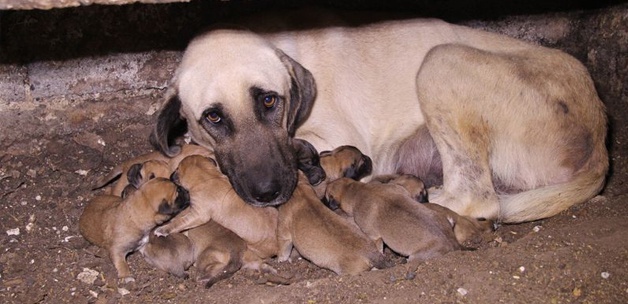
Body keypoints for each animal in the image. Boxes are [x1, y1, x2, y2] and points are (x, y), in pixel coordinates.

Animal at [150, 10, 604, 223]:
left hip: (441, 60)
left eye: (268, 101)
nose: (269, 192)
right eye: (213, 118)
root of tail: (599, 138)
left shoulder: (332, 134)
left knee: (475, 197)